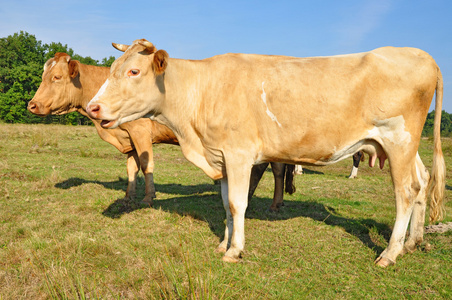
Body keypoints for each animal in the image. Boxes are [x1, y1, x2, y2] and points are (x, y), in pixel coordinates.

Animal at [28, 51, 294, 210]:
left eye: (57, 77)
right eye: (43, 75)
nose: (32, 104)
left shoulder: (140, 132)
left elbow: (147, 165)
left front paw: (148, 197)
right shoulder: (128, 138)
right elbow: (131, 167)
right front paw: (128, 196)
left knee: (277, 169)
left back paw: (274, 203)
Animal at [85, 40, 444, 268]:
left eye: (134, 72)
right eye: (113, 68)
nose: (93, 107)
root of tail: (420, 54)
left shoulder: (238, 154)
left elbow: (237, 203)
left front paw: (234, 251)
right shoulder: (222, 157)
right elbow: (226, 204)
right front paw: (223, 243)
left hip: (398, 139)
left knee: (405, 191)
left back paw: (391, 253)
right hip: (403, 146)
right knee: (422, 181)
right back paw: (413, 243)